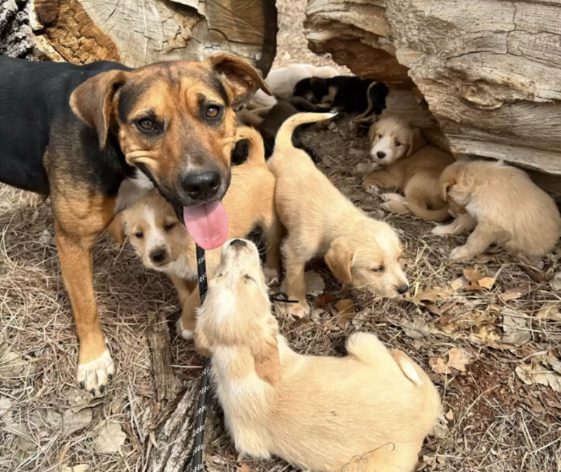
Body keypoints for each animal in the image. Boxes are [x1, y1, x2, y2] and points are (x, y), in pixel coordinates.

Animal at [122, 127, 280, 338]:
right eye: (138, 234)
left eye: (169, 226)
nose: (157, 256)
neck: (185, 244)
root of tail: (255, 162)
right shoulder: (174, 272)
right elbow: (185, 294)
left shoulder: (210, 271)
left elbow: (193, 298)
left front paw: (188, 325)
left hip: (270, 222)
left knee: (273, 243)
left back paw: (271, 269)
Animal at [195, 240, 440, 472]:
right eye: (250, 279)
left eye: (218, 276)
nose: (237, 241)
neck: (240, 359)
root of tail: (423, 414)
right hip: (359, 338)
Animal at [266, 111, 406, 318]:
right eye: (377, 269)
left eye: (398, 259)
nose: (405, 289)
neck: (340, 219)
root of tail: (286, 148)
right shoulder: (294, 251)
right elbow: (296, 279)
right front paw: (298, 305)